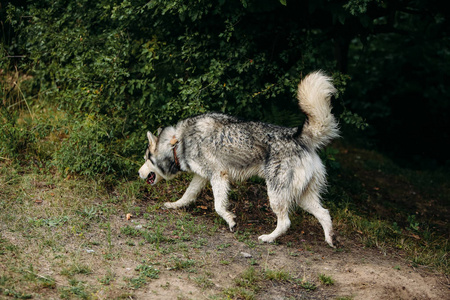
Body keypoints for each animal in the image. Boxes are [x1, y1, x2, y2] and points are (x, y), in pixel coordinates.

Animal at [139, 71, 340, 247]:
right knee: (324, 213)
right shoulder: (202, 177)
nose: (138, 173)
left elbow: (218, 206)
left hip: (276, 194)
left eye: (146, 158)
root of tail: (297, 135)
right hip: (302, 197)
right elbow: (187, 195)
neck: (178, 142)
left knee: (285, 222)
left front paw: (230, 221)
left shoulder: (219, 176)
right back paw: (330, 240)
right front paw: (174, 205)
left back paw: (268, 238)